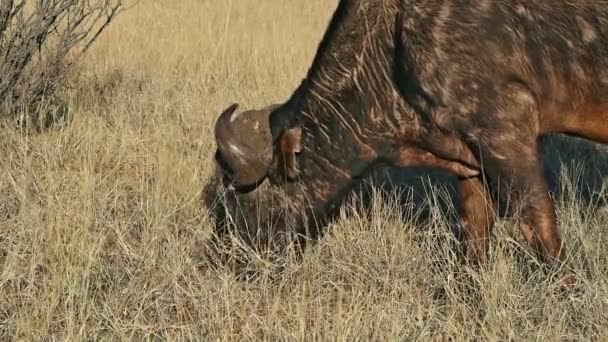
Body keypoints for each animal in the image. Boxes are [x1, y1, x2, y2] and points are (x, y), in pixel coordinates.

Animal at [209, 0, 608, 286]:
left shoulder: (507, 133)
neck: (393, 36)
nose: (226, 260)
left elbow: (539, 224)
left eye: (239, 202)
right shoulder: (469, 158)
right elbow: (474, 231)